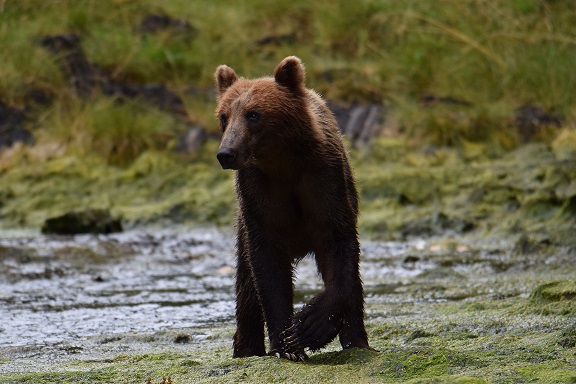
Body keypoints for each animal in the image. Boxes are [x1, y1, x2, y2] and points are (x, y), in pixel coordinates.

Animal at [214, 55, 372, 362]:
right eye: (224, 116)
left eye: (253, 114)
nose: (226, 153)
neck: (283, 163)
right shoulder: (258, 193)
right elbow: (267, 267)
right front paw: (287, 345)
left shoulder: (324, 179)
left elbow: (339, 246)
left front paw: (311, 325)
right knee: (247, 286)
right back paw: (246, 348)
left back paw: (356, 340)